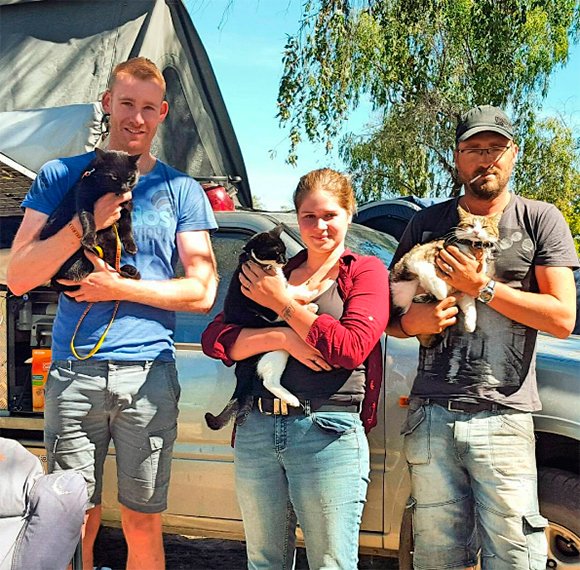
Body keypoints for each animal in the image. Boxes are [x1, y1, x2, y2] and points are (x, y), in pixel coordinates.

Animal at [38, 148, 142, 288]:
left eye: (130, 178)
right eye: (114, 177)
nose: (124, 188)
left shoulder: (126, 208)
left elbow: (127, 227)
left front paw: (131, 246)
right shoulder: (84, 199)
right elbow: (88, 220)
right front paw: (88, 239)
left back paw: (127, 269)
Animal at [205, 224, 318, 428]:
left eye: (284, 251)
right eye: (277, 252)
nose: (285, 260)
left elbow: (289, 288)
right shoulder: (269, 310)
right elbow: (288, 294)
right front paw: (309, 294)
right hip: (277, 351)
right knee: (269, 381)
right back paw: (291, 399)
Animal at [392, 205, 500, 346]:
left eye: (485, 226)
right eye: (470, 225)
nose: (476, 231)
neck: (472, 249)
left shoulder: (464, 289)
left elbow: (471, 306)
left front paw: (470, 324)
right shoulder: (419, 256)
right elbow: (430, 274)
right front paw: (440, 290)